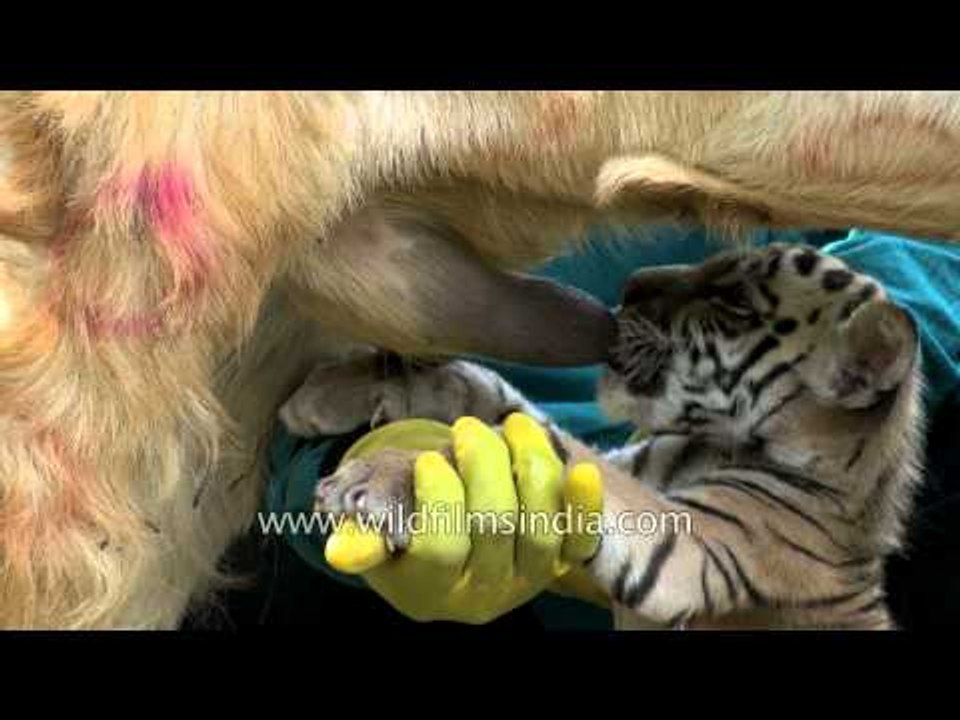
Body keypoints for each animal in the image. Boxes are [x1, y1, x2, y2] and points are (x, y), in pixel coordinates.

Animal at [280, 243, 925, 630]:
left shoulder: (696, 545)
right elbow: (500, 405)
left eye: (736, 303)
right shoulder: (638, 465)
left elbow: (554, 451)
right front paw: (329, 393)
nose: (633, 282)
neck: (716, 440)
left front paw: (384, 480)